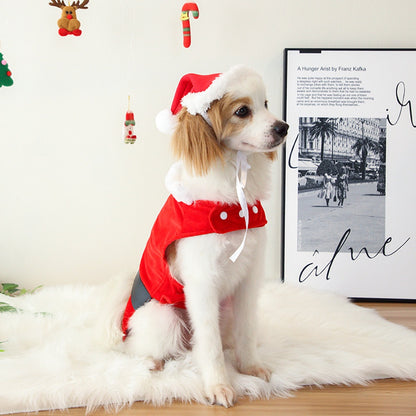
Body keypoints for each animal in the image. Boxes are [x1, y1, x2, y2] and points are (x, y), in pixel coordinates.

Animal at [122, 66, 288, 408]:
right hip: (163, 317)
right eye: (243, 111)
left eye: (265, 103)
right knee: (144, 348)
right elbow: (209, 346)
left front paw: (250, 367)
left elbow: (247, 331)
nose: (284, 127)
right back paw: (152, 362)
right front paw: (219, 386)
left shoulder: (248, 279)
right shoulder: (202, 282)